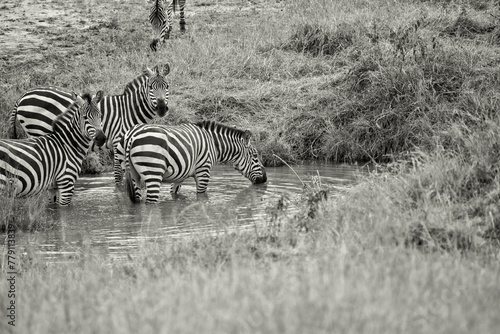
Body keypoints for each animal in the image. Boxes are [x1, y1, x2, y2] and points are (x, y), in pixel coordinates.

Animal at [8, 64, 170, 184]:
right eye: (151, 87)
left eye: (167, 86)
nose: (162, 108)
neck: (128, 110)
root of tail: (23, 96)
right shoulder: (118, 142)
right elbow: (119, 176)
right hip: (38, 130)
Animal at [121, 120, 268, 204]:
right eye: (255, 156)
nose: (265, 179)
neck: (213, 144)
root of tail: (132, 135)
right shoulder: (203, 171)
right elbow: (202, 197)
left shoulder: (180, 175)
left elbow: (174, 194)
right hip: (153, 171)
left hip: (133, 174)